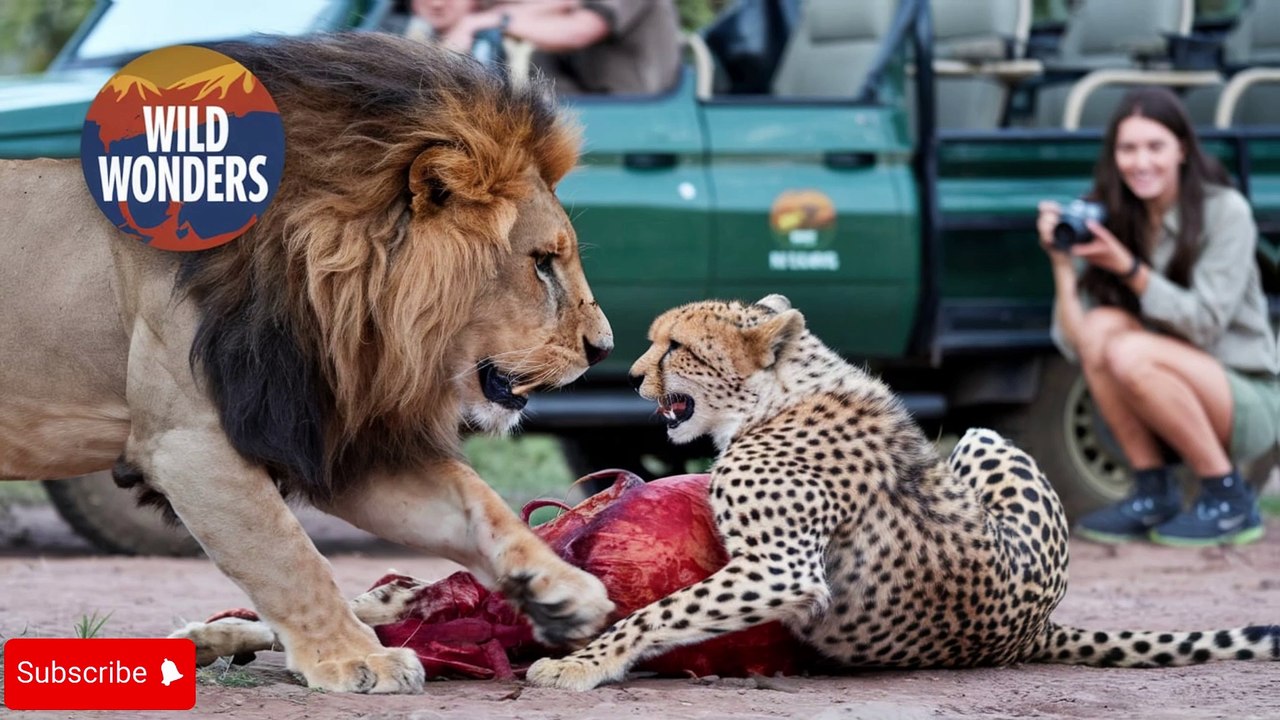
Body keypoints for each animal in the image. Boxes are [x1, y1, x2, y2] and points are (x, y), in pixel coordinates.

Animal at [0, 33, 615, 693]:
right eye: (542, 262)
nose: (604, 347)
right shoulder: (187, 443)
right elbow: (289, 557)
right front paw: (357, 657)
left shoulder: (335, 434)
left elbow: (481, 505)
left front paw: (562, 589)